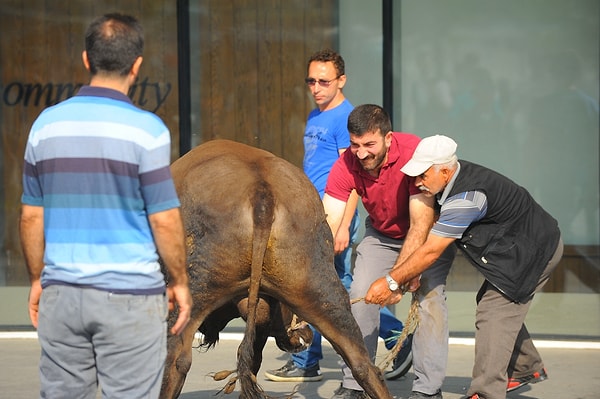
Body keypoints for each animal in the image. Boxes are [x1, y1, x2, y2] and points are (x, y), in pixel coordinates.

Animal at [161, 141, 394, 399]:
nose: (304, 336)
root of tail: (262, 191)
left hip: (190, 295)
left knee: (176, 361)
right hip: (323, 295)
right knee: (363, 365)